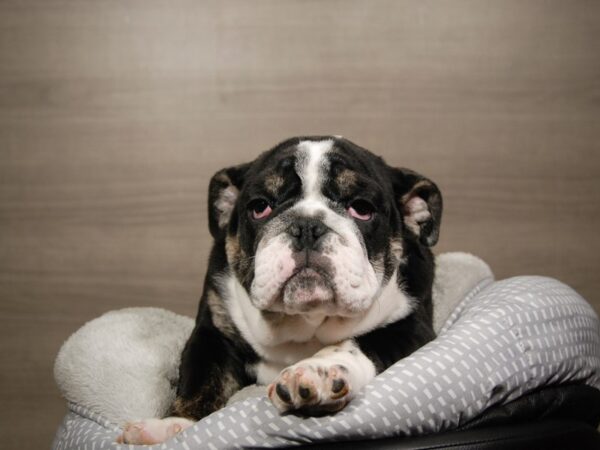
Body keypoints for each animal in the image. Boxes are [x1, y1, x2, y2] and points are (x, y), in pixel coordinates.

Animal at [117, 135, 442, 444]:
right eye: (259, 207)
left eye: (362, 208)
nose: (307, 226)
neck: (304, 325)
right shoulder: (214, 333)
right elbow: (201, 378)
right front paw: (172, 427)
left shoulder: (411, 328)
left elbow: (358, 343)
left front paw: (318, 372)